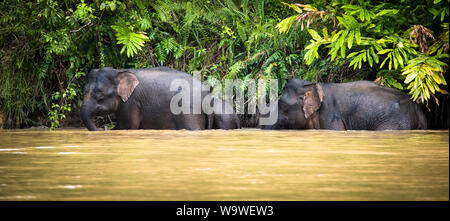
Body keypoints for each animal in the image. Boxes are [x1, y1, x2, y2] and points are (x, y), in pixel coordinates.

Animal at [81, 66, 243, 130]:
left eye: (99, 93)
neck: (119, 71)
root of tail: (207, 95)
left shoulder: (132, 102)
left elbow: (128, 127)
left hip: (188, 109)